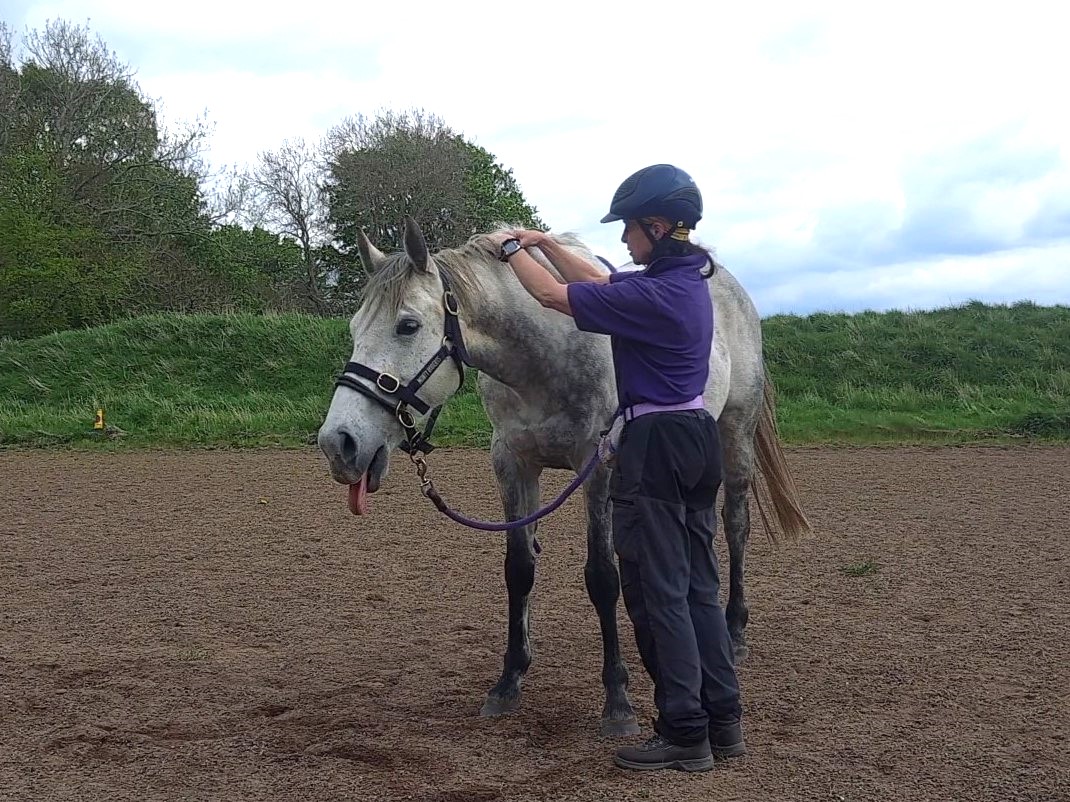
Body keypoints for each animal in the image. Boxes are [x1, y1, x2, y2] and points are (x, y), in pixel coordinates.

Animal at [317, 216, 810, 737]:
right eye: (354, 328)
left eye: (407, 326)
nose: (339, 442)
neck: (544, 354)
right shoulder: (512, 464)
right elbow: (519, 570)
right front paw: (509, 680)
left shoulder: (596, 468)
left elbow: (602, 577)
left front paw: (617, 700)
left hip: (733, 437)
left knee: (735, 528)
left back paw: (733, 632)